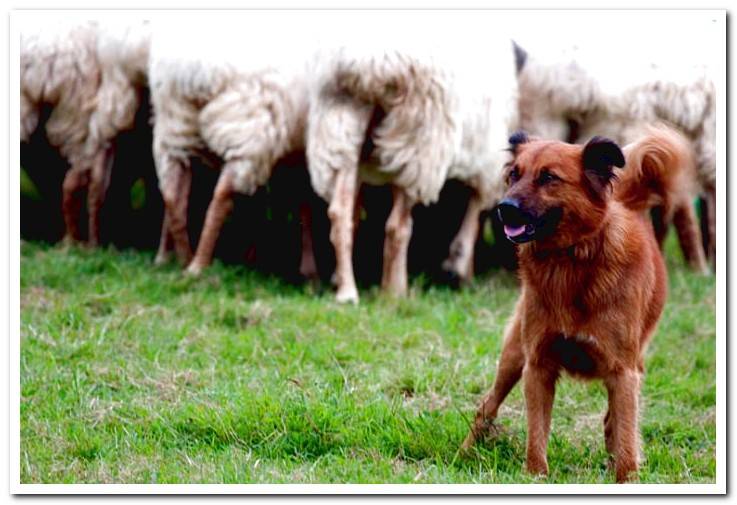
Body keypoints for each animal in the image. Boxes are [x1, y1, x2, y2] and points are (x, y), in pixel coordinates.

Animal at [306, 18, 516, 304]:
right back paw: (394, 291)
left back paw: (347, 291)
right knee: (398, 226)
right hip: (418, 138)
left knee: (340, 214)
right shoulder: (487, 157)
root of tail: (368, 59)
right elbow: (475, 211)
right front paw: (460, 270)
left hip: (340, 127)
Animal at [460, 124, 688, 482]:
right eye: (514, 174)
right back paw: (463, 455)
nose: (503, 208)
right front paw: (535, 476)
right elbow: (536, 435)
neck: (570, 261)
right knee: (487, 406)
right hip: (513, 356)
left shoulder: (623, 373)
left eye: (549, 177)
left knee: (614, 422)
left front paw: (625, 476)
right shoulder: (537, 366)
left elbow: (625, 439)